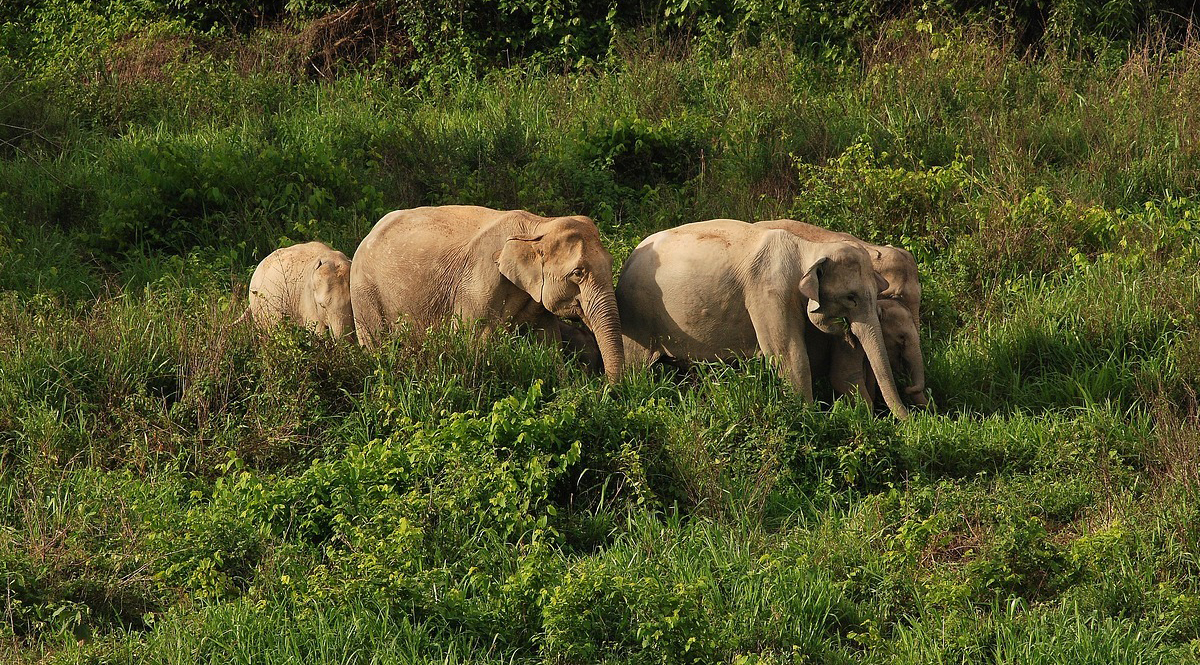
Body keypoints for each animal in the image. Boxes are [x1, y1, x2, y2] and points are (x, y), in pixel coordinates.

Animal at [350, 201, 624, 379]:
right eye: (577, 273)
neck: (538, 226)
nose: (603, 386)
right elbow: (472, 345)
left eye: (612, 263)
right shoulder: (479, 284)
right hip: (365, 293)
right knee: (375, 344)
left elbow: (546, 343)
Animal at [619, 217, 907, 417]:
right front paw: (810, 419)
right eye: (851, 297)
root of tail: (630, 257)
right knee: (635, 367)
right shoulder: (769, 292)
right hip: (637, 316)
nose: (909, 421)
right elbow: (788, 354)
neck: (809, 248)